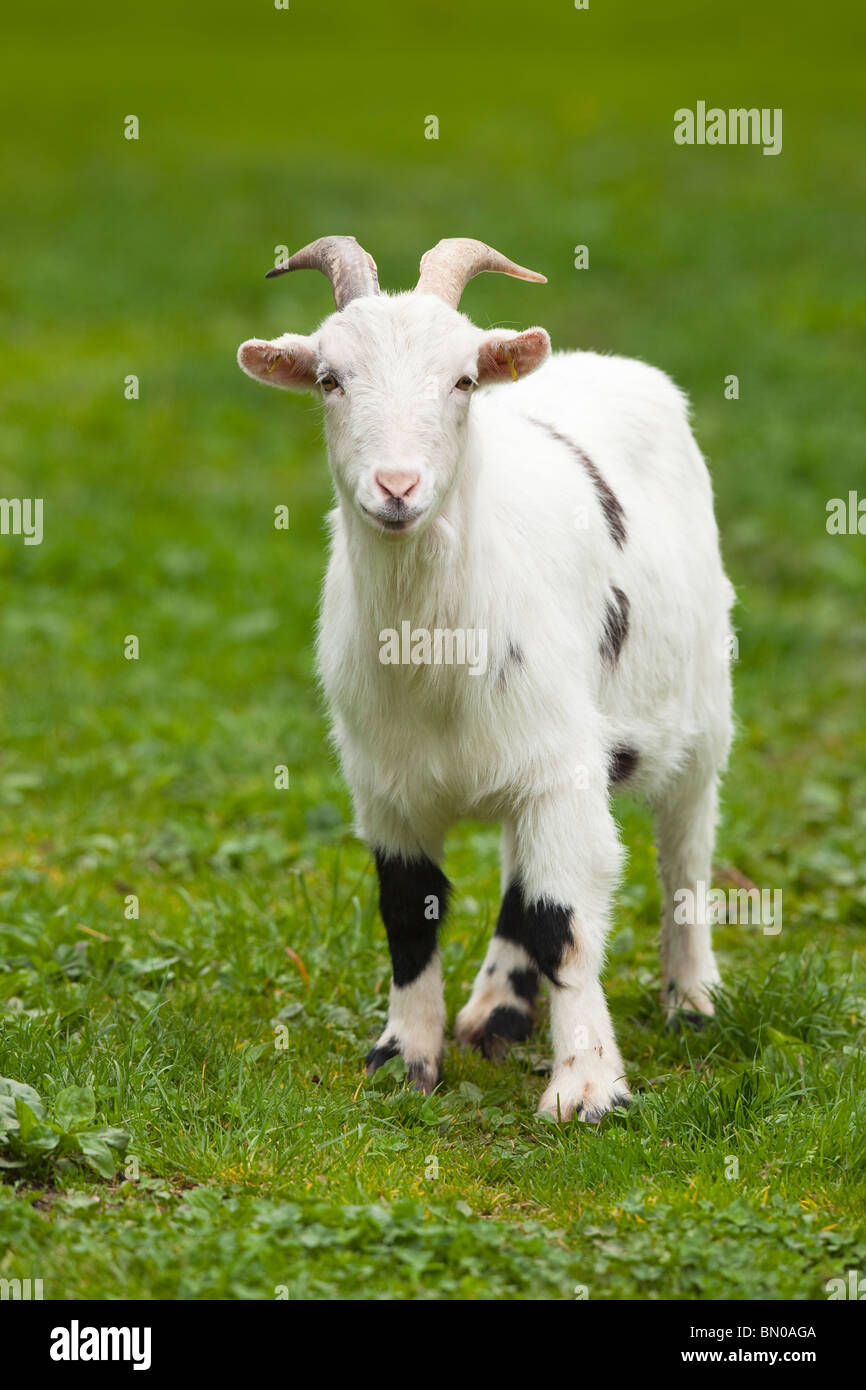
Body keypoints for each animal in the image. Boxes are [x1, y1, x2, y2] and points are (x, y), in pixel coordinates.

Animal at [239, 236, 739, 1117]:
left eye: (463, 379)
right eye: (331, 379)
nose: (397, 488)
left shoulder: (564, 770)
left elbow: (563, 919)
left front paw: (586, 1087)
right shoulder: (386, 785)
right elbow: (409, 913)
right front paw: (404, 1058)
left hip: (700, 705)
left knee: (684, 845)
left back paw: (692, 998)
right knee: (520, 869)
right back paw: (496, 1009)